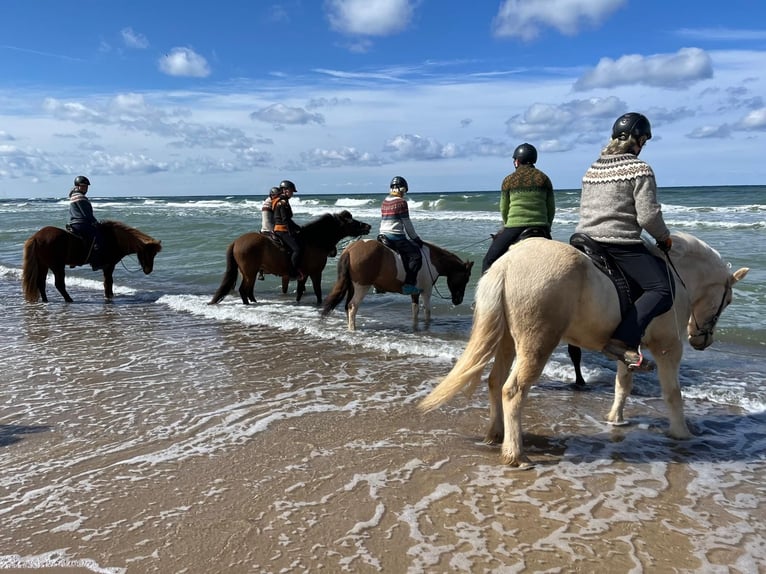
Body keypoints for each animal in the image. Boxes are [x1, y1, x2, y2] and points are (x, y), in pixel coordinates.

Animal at [21, 220, 163, 304]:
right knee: (59, 284)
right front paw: (108, 297)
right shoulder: (109, 266)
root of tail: (36, 237)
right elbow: (108, 282)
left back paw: (46, 301)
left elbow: (107, 282)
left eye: (155, 254)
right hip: (57, 266)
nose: (148, 270)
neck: (114, 239)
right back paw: (69, 299)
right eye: (147, 252)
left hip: (44, 265)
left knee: (41, 282)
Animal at [210, 210, 372, 308]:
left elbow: (300, 292)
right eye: (351, 221)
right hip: (250, 272)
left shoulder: (304, 275)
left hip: (249, 272)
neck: (314, 241)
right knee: (244, 290)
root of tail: (236, 241)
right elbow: (317, 291)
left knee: (248, 290)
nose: (368, 226)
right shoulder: (314, 273)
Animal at [320, 241, 474, 332]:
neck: (432, 259)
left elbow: (415, 310)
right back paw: (353, 329)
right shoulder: (427, 290)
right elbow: (427, 311)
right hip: (362, 287)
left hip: (352, 286)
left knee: (347, 306)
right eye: (466, 278)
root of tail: (350, 250)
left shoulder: (415, 292)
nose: (458, 300)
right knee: (352, 306)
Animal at [420, 233, 752, 468]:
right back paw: (516, 455)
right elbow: (673, 393)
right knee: (512, 390)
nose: (701, 340)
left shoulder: (628, 350)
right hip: (537, 343)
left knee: (493, 382)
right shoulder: (668, 349)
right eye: (728, 301)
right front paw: (682, 433)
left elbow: (622, 385)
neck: (676, 276)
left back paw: (495, 435)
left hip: (507, 340)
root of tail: (507, 263)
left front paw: (615, 419)